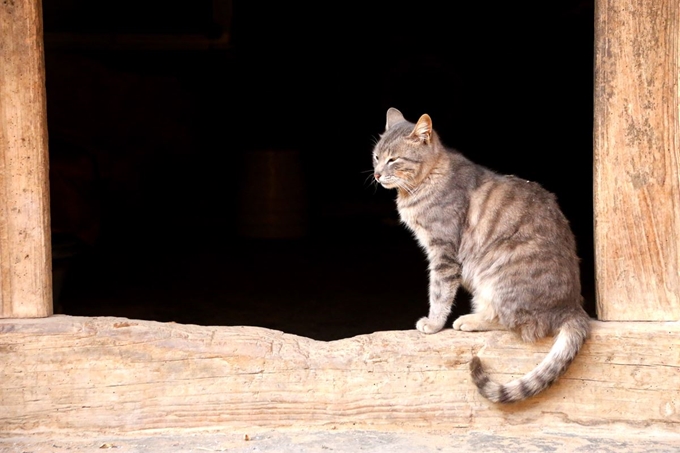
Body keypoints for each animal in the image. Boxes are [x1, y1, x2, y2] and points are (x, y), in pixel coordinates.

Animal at [372, 107, 588, 402]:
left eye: (393, 159)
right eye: (376, 156)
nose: (376, 174)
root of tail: (573, 308)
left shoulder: (443, 252)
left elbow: (439, 293)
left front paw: (433, 324)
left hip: (497, 277)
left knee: (514, 323)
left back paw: (470, 320)